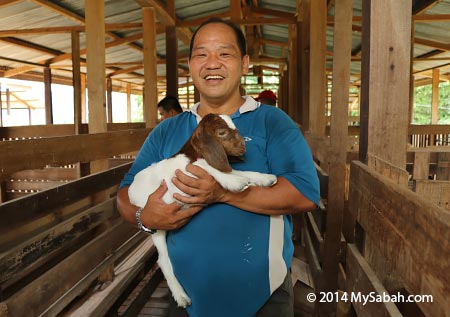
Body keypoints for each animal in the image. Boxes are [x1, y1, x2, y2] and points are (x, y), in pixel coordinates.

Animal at [127, 113, 278, 306]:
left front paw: (264, 178)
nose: (243, 146)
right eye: (221, 133)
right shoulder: (185, 171)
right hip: (156, 226)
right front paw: (235, 183)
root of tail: (131, 191)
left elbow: (237, 171)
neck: (193, 154)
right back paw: (181, 296)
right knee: (163, 260)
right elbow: (204, 167)